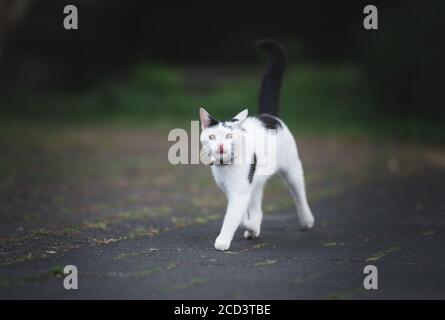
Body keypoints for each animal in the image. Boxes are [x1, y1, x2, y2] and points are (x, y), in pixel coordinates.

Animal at [199, 39, 314, 250]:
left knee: (299, 193)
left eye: (229, 136)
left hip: (292, 169)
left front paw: (223, 240)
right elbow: (241, 214)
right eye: (212, 137)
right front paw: (251, 226)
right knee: (257, 206)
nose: (220, 147)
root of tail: (268, 116)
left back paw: (307, 220)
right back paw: (254, 229)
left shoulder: (240, 192)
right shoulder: (235, 190)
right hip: (257, 180)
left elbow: (232, 216)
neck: (227, 166)